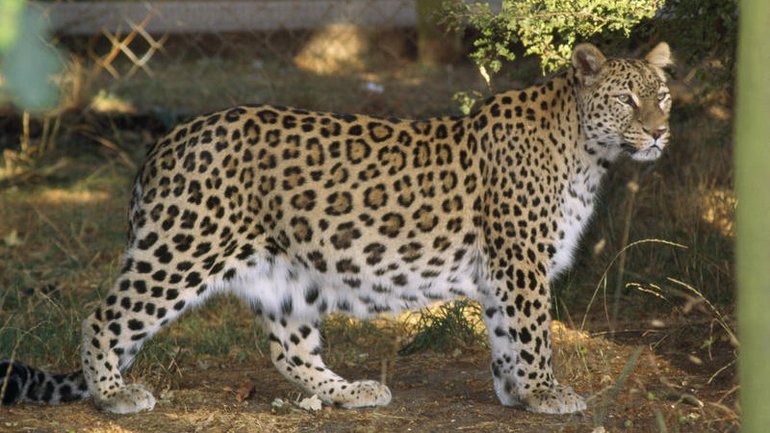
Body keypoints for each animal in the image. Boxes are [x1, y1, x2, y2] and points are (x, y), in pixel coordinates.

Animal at [1, 42, 672, 415]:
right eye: (627, 100)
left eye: (662, 94)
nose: (661, 131)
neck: (588, 150)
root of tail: (168, 139)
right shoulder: (519, 261)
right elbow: (532, 333)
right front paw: (545, 391)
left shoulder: (505, 272)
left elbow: (507, 334)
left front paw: (515, 392)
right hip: (181, 249)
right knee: (102, 315)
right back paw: (113, 394)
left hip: (284, 274)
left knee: (287, 349)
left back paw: (350, 392)